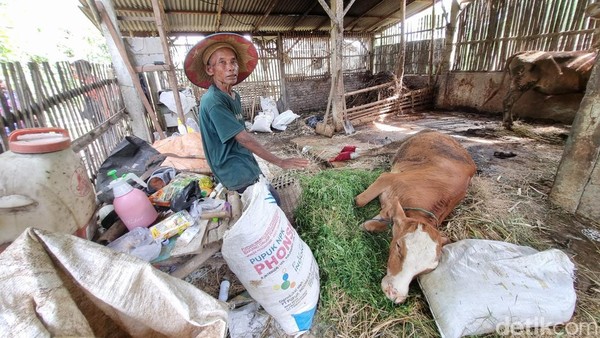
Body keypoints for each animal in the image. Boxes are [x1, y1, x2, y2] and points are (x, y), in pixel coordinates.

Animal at [354, 129, 476, 304]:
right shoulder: (387, 178)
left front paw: (366, 225)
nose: (394, 293)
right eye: (399, 247)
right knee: (379, 149)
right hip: (403, 142)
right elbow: (360, 201)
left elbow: (375, 223)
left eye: (430, 269)